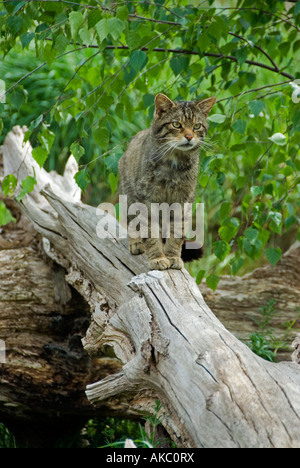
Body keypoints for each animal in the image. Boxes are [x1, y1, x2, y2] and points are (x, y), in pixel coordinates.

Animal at [119, 92, 216, 270]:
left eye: (197, 126)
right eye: (176, 124)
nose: (189, 136)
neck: (173, 166)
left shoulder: (183, 200)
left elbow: (176, 233)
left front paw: (172, 256)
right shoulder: (146, 200)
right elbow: (150, 233)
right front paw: (157, 258)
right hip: (128, 196)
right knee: (132, 222)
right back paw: (136, 243)